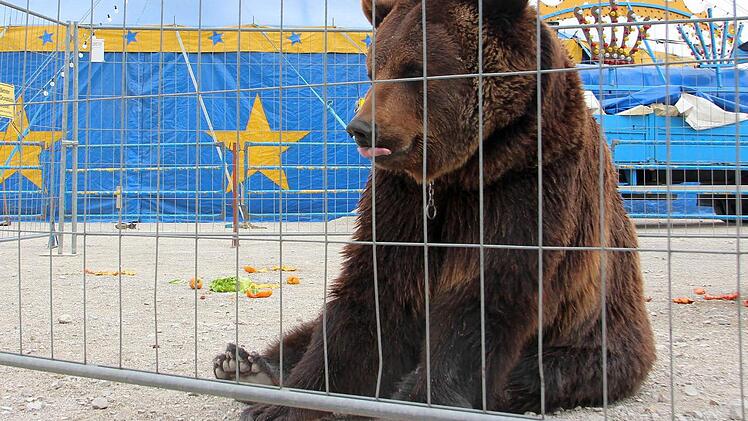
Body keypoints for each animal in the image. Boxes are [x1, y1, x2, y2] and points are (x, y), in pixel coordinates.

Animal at [213, 0, 656, 419]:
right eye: (374, 68)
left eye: (415, 70)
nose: (361, 128)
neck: (463, 172)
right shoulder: (402, 198)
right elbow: (374, 288)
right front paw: (284, 401)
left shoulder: (530, 182)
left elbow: (485, 292)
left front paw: (419, 398)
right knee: (309, 329)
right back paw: (246, 366)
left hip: (594, 336)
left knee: (535, 374)